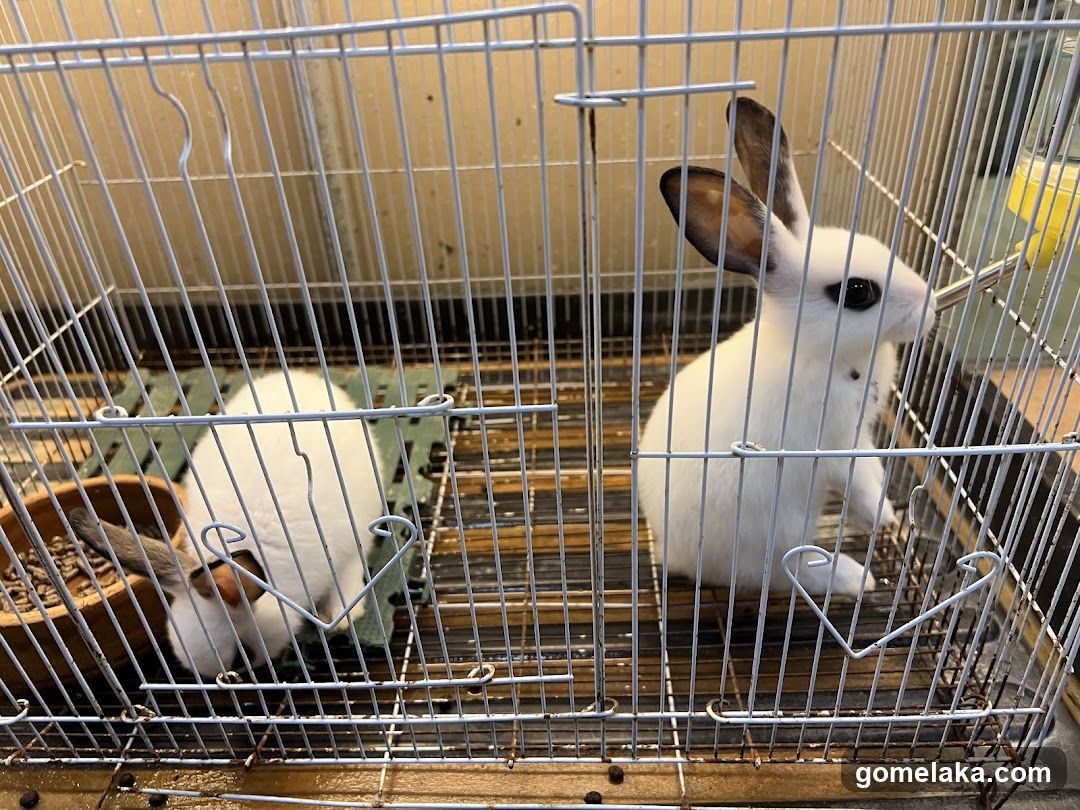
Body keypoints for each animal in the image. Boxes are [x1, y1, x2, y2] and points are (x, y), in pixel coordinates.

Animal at [638, 98, 935, 598]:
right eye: (857, 291)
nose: (930, 305)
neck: (817, 352)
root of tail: (675, 557)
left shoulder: (860, 434)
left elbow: (872, 469)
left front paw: (887, 514)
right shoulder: (834, 446)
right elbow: (857, 480)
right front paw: (880, 518)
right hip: (781, 530)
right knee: (792, 571)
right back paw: (857, 578)